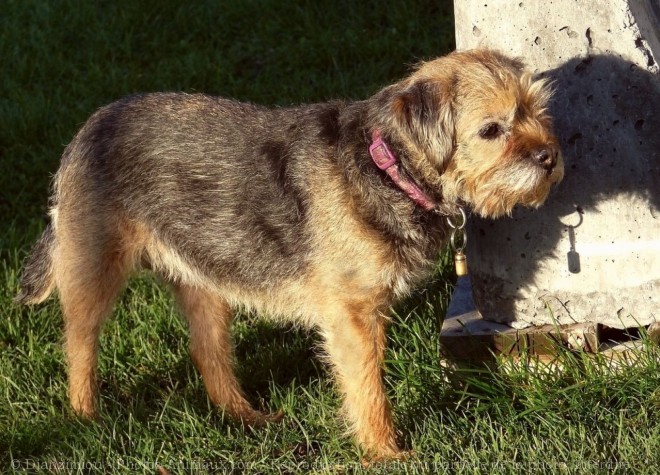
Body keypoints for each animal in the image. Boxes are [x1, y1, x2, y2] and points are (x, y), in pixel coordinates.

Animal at [15, 48, 564, 458]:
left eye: (537, 109)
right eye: (491, 130)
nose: (550, 156)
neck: (386, 165)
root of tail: (88, 129)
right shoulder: (353, 317)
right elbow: (368, 386)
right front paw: (385, 452)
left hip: (205, 278)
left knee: (208, 351)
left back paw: (245, 416)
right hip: (92, 269)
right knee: (79, 346)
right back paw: (86, 418)